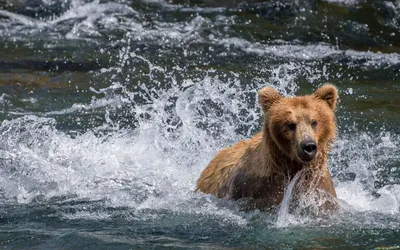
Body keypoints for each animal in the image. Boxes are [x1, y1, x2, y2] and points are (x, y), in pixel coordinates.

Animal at [195, 84, 340, 213]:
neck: (291, 165)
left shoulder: (319, 188)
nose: (308, 146)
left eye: (314, 122)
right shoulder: (252, 186)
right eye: (291, 124)